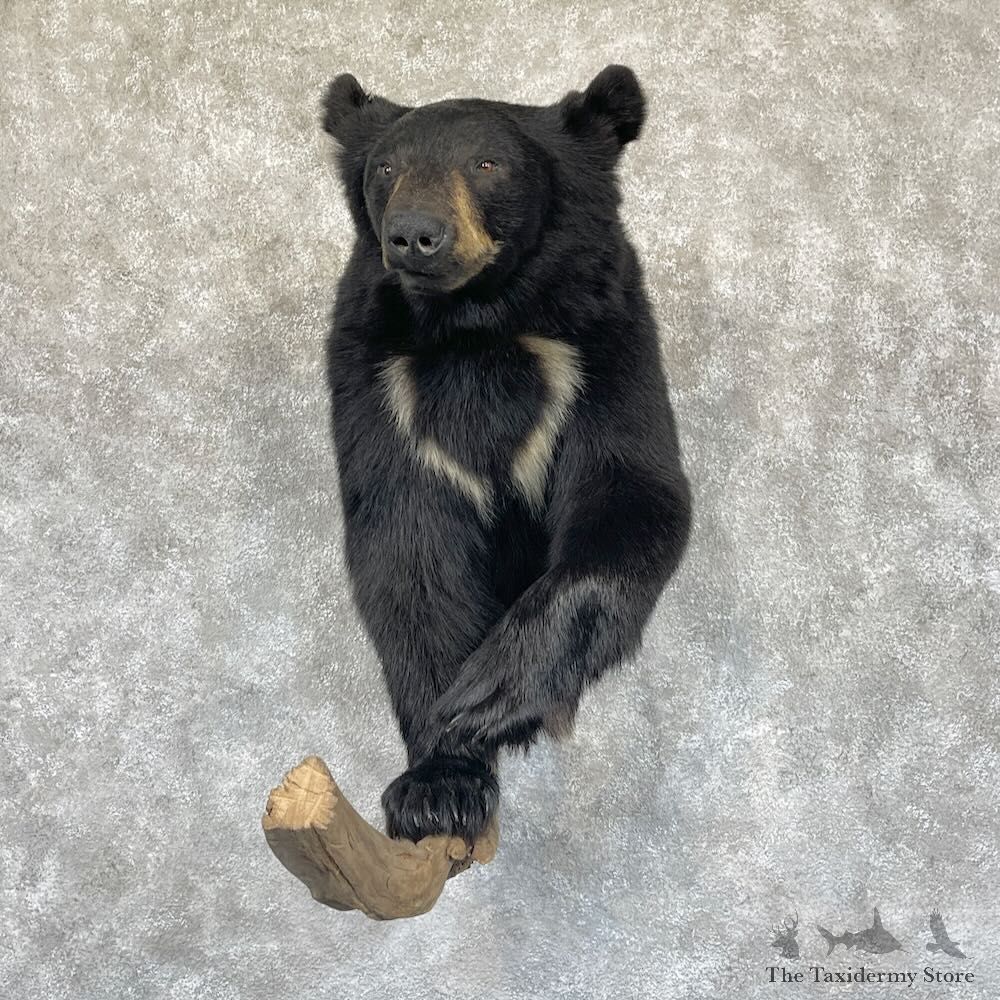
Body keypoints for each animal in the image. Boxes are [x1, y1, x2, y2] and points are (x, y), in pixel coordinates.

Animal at [320, 66, 691, 846]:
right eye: (385, 169)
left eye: (487, 163)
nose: (415, 235)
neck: (477, 322)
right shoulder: (380, 383)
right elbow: (407, 549)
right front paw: (438, 783)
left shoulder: (599, 352)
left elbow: (633, 493)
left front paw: (487, 694)